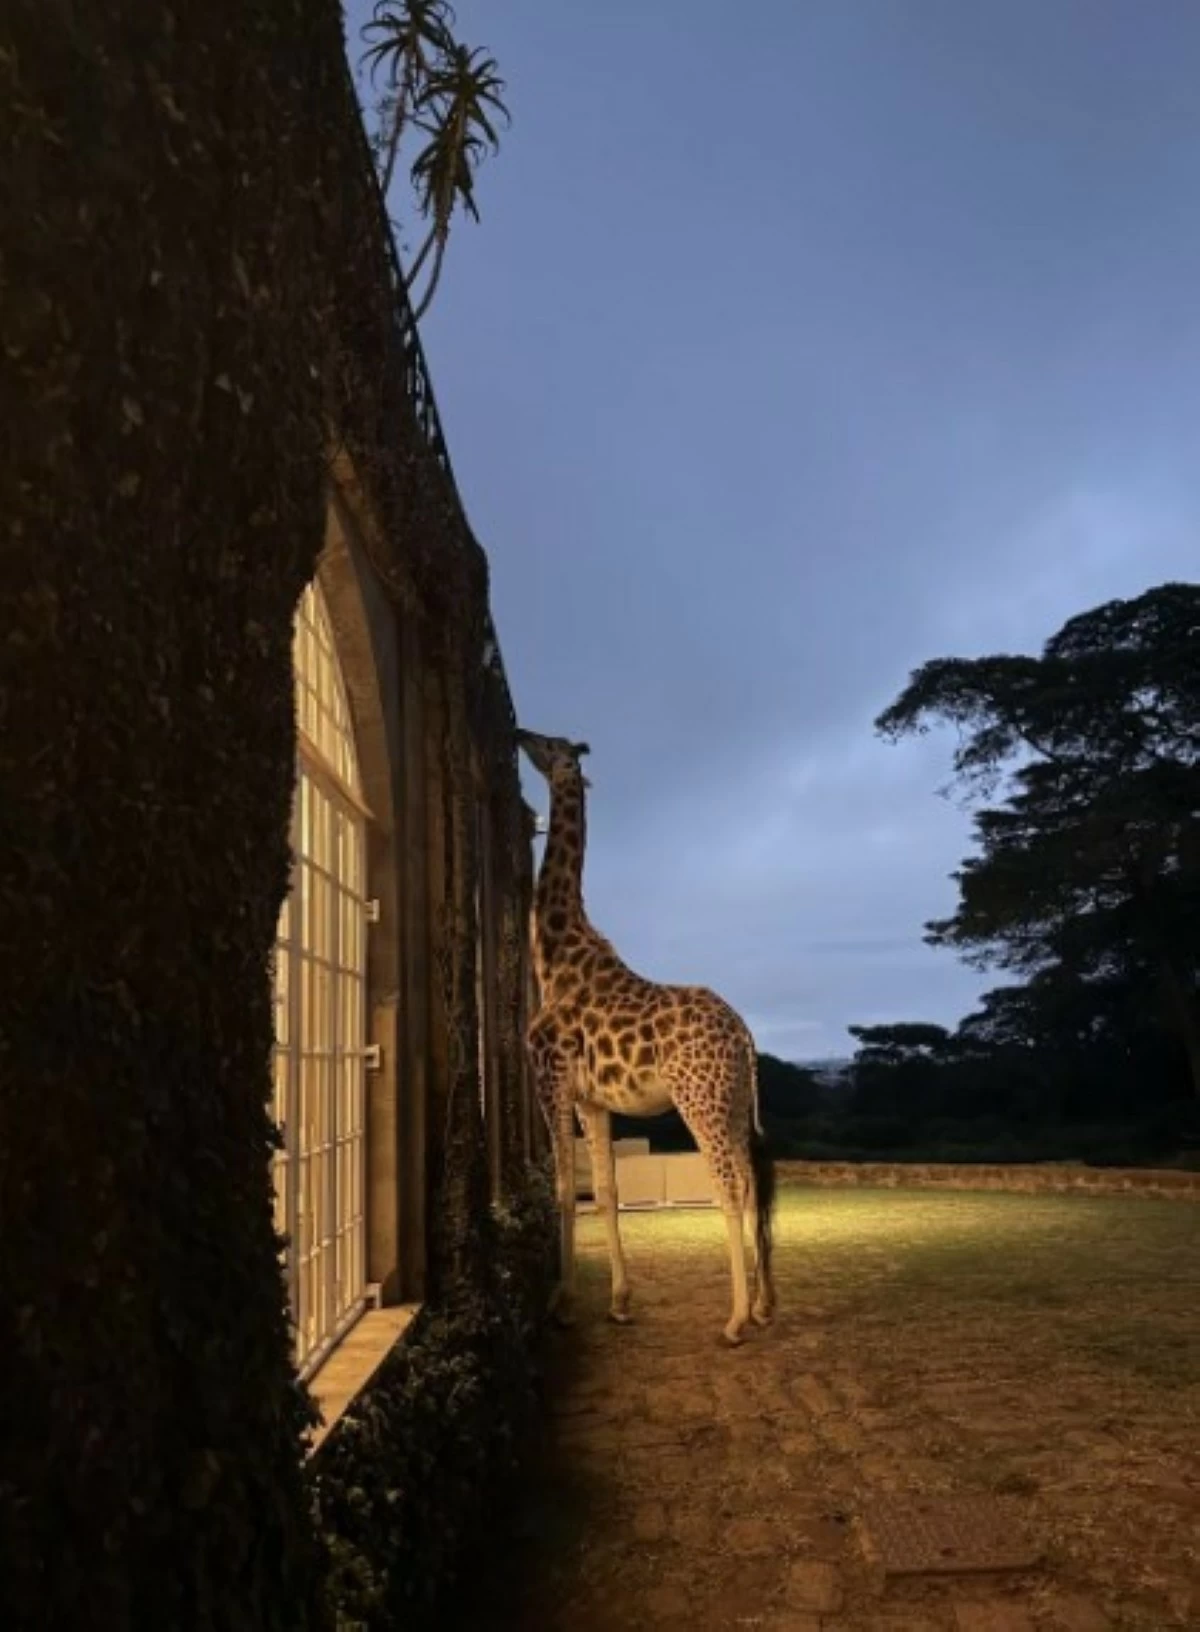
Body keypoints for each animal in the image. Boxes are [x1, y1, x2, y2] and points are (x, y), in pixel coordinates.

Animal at [518, 728, 776, 1346]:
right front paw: (618, 1302)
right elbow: (605, 1192)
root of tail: (745, 1036)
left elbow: (563, 1189)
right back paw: (759, 1307)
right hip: (732, 1103)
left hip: (698, 1100)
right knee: (751, 1184)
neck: (553, 954)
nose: (517, 734)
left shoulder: (550, 1076)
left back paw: (734, 1319)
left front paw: (563, 1304)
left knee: (729, 1186)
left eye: (549, 744)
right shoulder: (592, 1098)